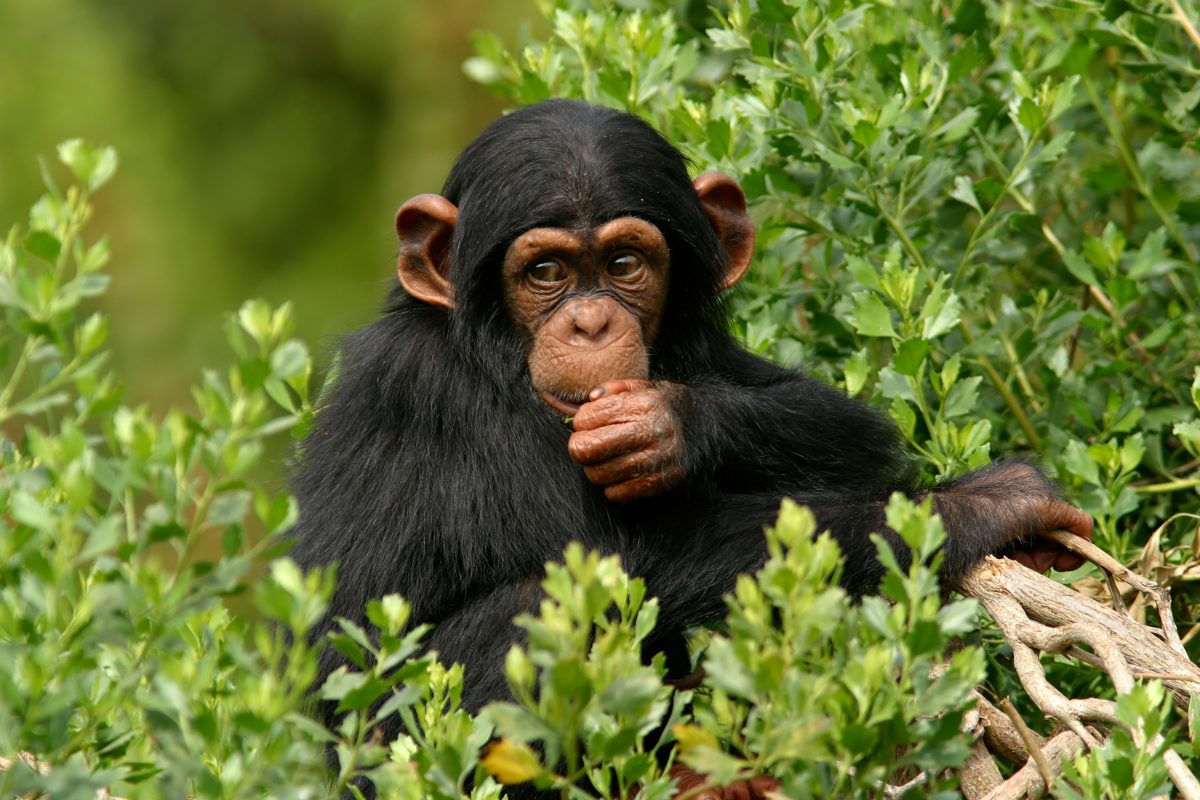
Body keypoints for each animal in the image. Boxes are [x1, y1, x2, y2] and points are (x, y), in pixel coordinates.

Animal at [288, 98, 1089, 796]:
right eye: (545, 272)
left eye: (624, 264)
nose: (588, 324)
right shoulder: (437, 395)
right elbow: (608, 558)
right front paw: (983, 506)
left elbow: (841, 427)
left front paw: (668, 425)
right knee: (541, 605)